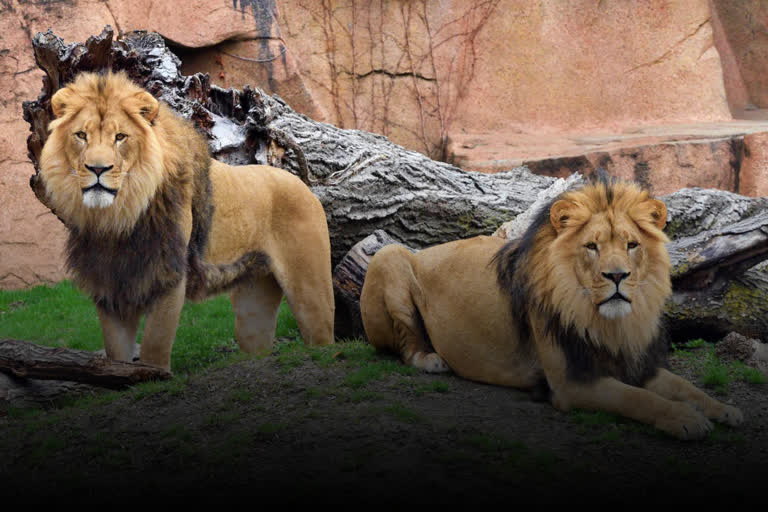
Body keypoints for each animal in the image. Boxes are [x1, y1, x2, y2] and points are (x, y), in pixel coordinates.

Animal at [36, 71, 334, 368]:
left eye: (120, 137)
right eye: (81, 136)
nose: (98, 169)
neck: (117, 218)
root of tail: (302, 184)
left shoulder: (168, 277)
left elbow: (154, 348)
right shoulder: (109, 284)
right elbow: (116, 354)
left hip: (310, 291)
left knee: (321, 336)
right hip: (253, 301)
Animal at [364, 180, 748, 440]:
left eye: (631, 245)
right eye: (592, 247)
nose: (617, 276)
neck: (607, 322)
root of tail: (424, 250)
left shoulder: (638, 364)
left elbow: (687, 387)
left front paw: (724, 410)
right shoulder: (572, 382)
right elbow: (638, 399)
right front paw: (685, 419)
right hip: (389, 255)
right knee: (404, 345)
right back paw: (431, 360)